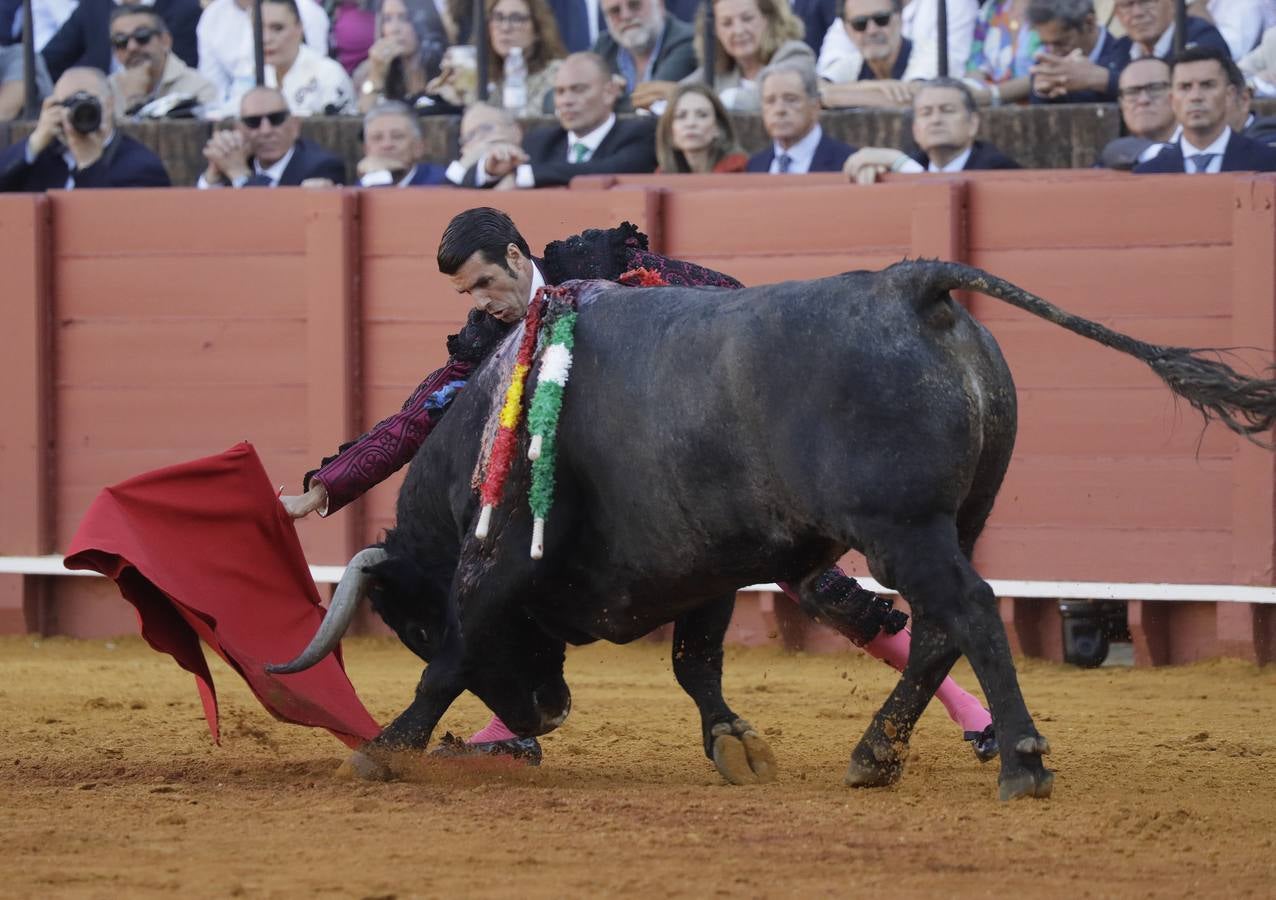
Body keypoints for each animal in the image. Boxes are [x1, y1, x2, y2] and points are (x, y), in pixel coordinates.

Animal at [264, 260, 1270, 801]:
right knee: (937, 626)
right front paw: (735, 743)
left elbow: (458, 654)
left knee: (971, 613)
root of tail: (910, 284)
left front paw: (387, 746)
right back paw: (874, 756)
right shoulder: (706, 568)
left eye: (410, 622)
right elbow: (695, 664)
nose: (544, 713)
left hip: (903, 526)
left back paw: (1019, 761)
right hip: (959, 517)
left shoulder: (498, 559)